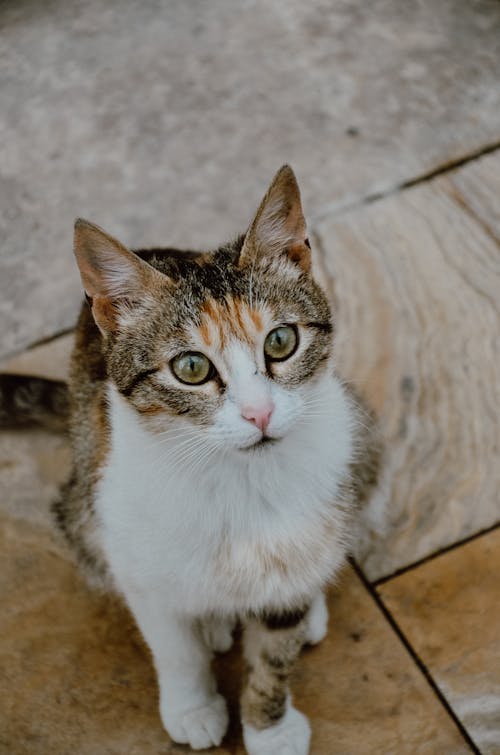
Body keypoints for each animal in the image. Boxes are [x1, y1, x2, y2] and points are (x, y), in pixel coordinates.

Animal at [1, 167, 380, 755]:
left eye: (281, 340)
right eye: (192, 368)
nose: (259, 413)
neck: (241, 481)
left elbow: (275, 649)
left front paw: (270, 726)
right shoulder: (134, 551)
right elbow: (173, 644)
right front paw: (193, 707)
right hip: (82, 509)